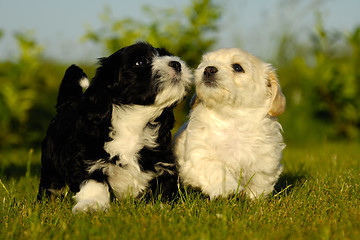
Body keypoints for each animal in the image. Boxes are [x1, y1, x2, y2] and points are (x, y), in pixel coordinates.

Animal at [38, 42, 193, 213]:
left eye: (166, 54)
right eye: (140, 62)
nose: (177, 64)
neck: (133, 123)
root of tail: (67, 103)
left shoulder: (162, 160)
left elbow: (164, 185)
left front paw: (158, 205)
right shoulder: (86, 157)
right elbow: (94, 181)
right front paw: (92, 204)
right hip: (50, 163)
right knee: (51, 183)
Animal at [174, 47, 286, 200]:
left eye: (237, 67)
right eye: (205, 63)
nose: (208, 69)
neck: (231, 119)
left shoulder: (265, 160)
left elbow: (259, 181)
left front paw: (253, 198)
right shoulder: (198, 155)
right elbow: (216, 167)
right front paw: (227, 189)